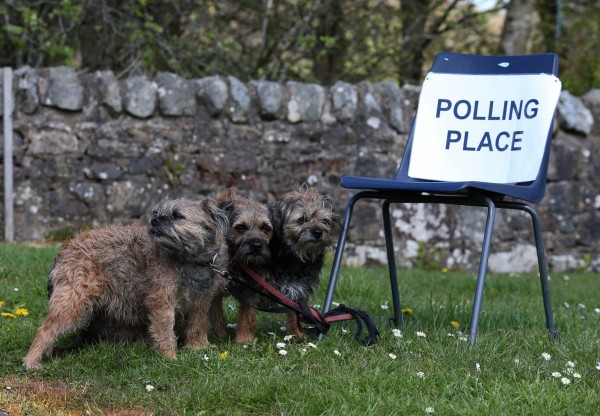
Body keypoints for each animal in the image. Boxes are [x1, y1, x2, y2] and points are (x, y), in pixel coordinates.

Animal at [22, 198, 227, 370]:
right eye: (156, 212)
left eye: (177, 216)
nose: (154, 221)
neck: (190, 259)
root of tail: (66, 248)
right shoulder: (162, 301)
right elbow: (165, 329)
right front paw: (170, 357)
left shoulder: (202, 301)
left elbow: (198, 324)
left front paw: (197, 347)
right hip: (73, 302)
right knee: (45, 330)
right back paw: (31, 360)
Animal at [212, 190, 276, 342]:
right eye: (241, 227)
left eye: (265, 228)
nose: (256, 245)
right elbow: (216, 313)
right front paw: (219, 335)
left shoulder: (250, 288)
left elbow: (247, 314)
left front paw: (244, 338)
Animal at [268, 188, 340, 338]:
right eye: (302, 219)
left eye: (324, 220)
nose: (318, 232)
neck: (294, 256)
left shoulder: (297, 288)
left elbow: (296, 312)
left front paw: (297, 335)